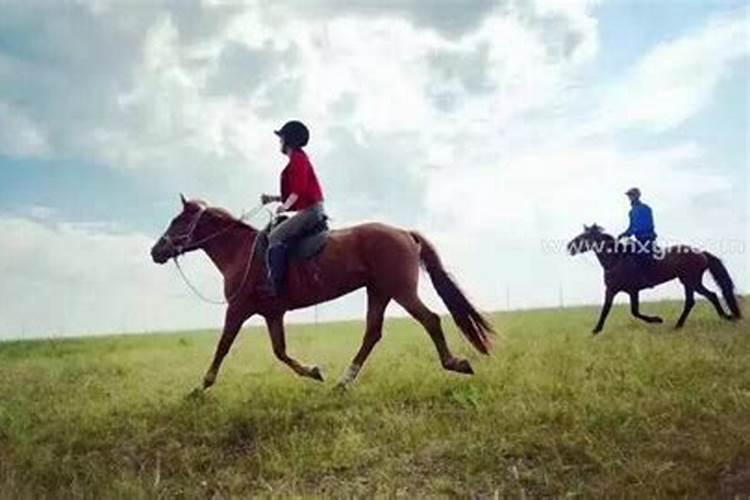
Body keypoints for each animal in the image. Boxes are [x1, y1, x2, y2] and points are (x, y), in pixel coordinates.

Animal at [151, 197, 494, 388]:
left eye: (178, 220)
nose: (156, 251)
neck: (240, 252)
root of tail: (404, 233)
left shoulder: (237, 310)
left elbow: (222, 347)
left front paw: (201, 387)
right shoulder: (272, 314)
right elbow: (280, 352)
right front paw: (314, 372)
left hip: (400, 291)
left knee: (430, 320)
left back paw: (455, 363)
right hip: (379, 292)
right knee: (372, 333)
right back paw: (343, 381)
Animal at [568, 226, 740, 336]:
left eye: (583, 237)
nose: (569, 247)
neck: (615, 259)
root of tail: (702, 253)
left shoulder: (632, 290)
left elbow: (634, 311)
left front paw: (657, 320)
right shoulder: (611, 290)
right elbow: (606, 310)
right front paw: (596, 330)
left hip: (691, 281)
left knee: (705, 297)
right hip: (688, 281)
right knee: (701, 299)